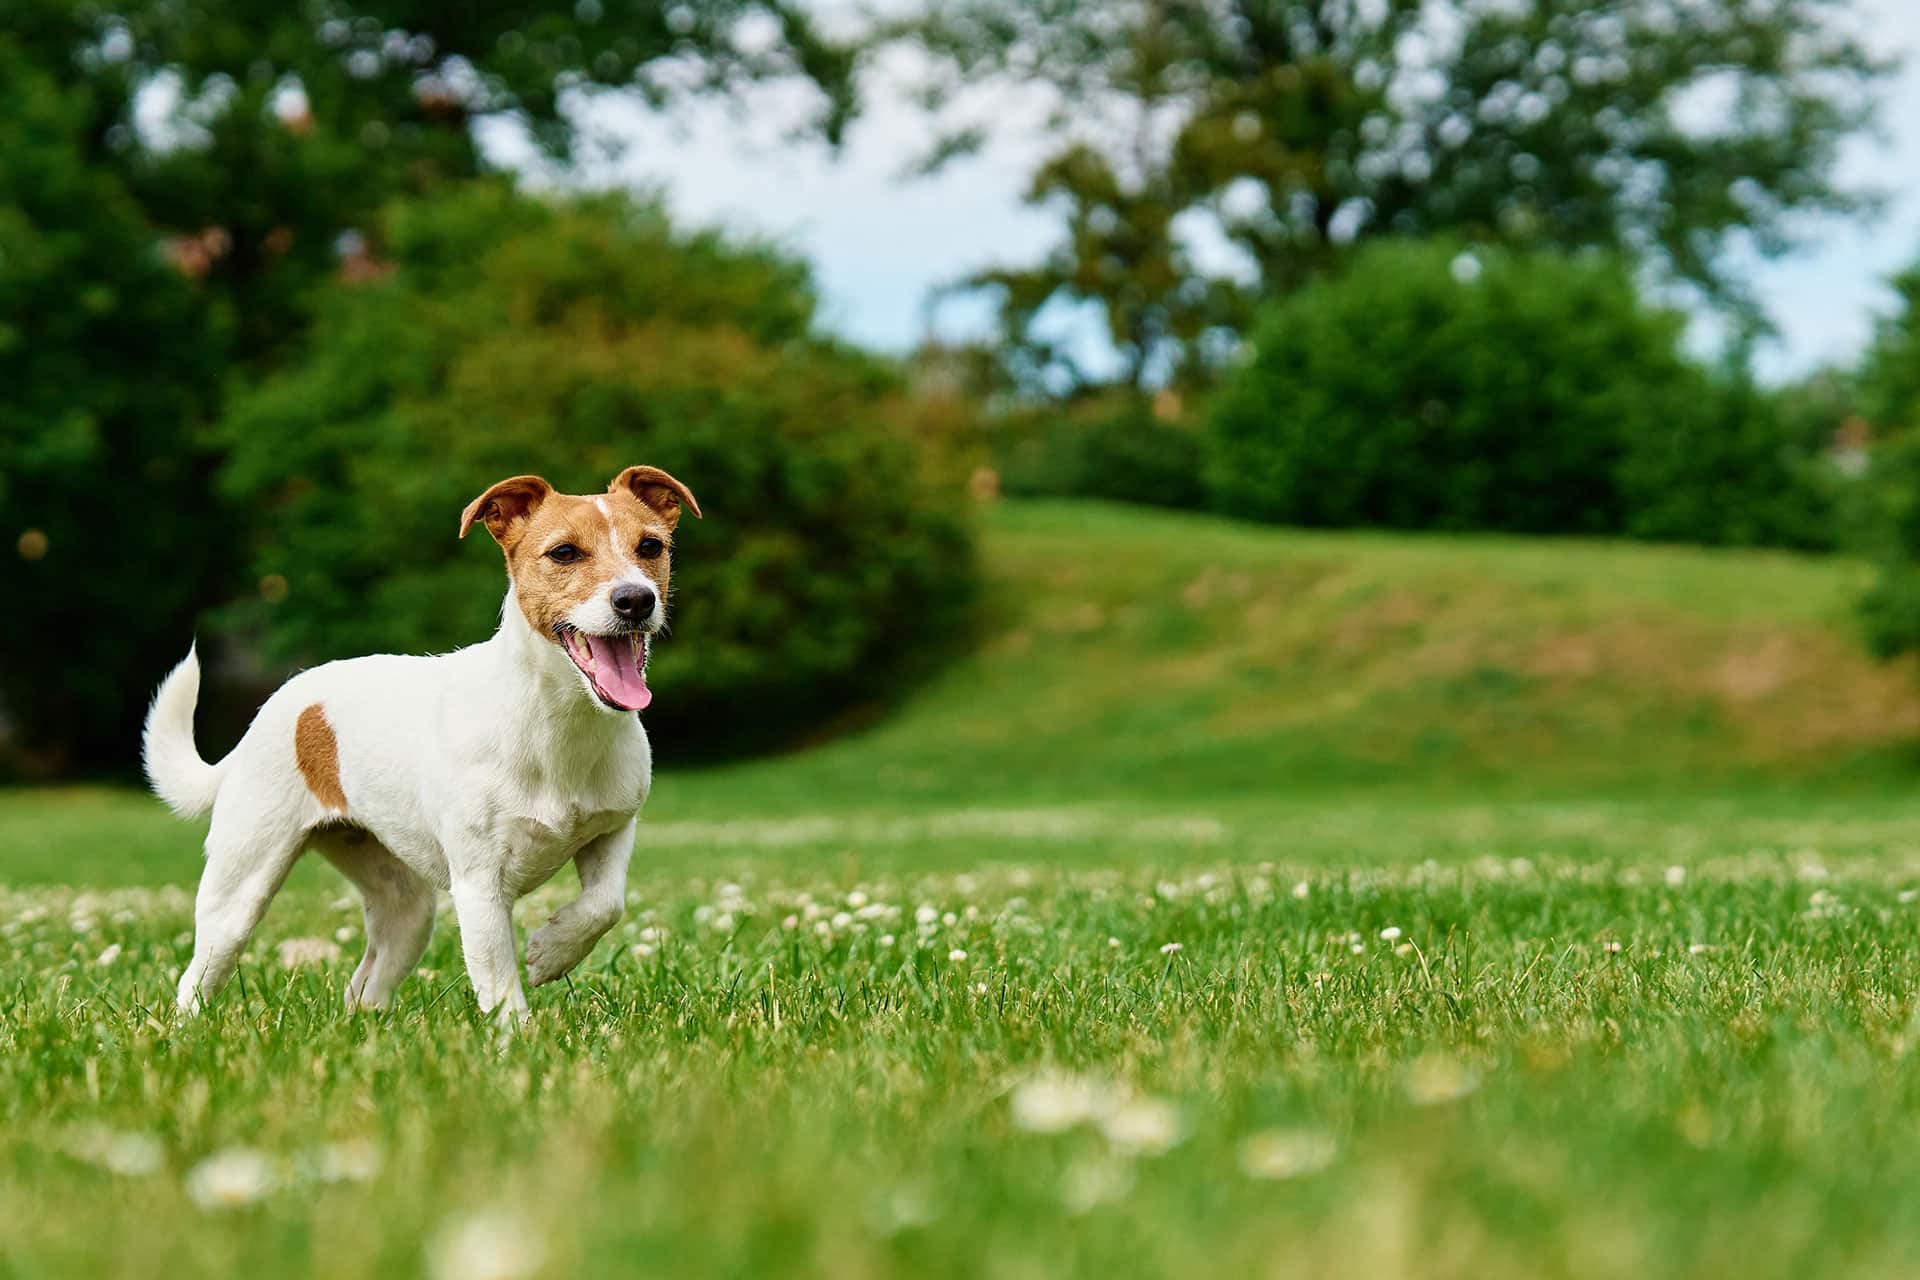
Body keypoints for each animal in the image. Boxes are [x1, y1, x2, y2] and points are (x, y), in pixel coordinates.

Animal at [142, 466, 702, 1028]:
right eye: (564, 553)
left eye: (651, 546)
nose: (636, 599)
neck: (558, 724)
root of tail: (278, 705)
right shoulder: (480, 886)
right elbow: (500, 983)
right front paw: (518, 1036)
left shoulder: (612, 830)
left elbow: (605, 904)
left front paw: (553, 950)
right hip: (242, 884)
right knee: (198, 975)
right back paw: (186, 1030)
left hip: (406, 909)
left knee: (364, 985)